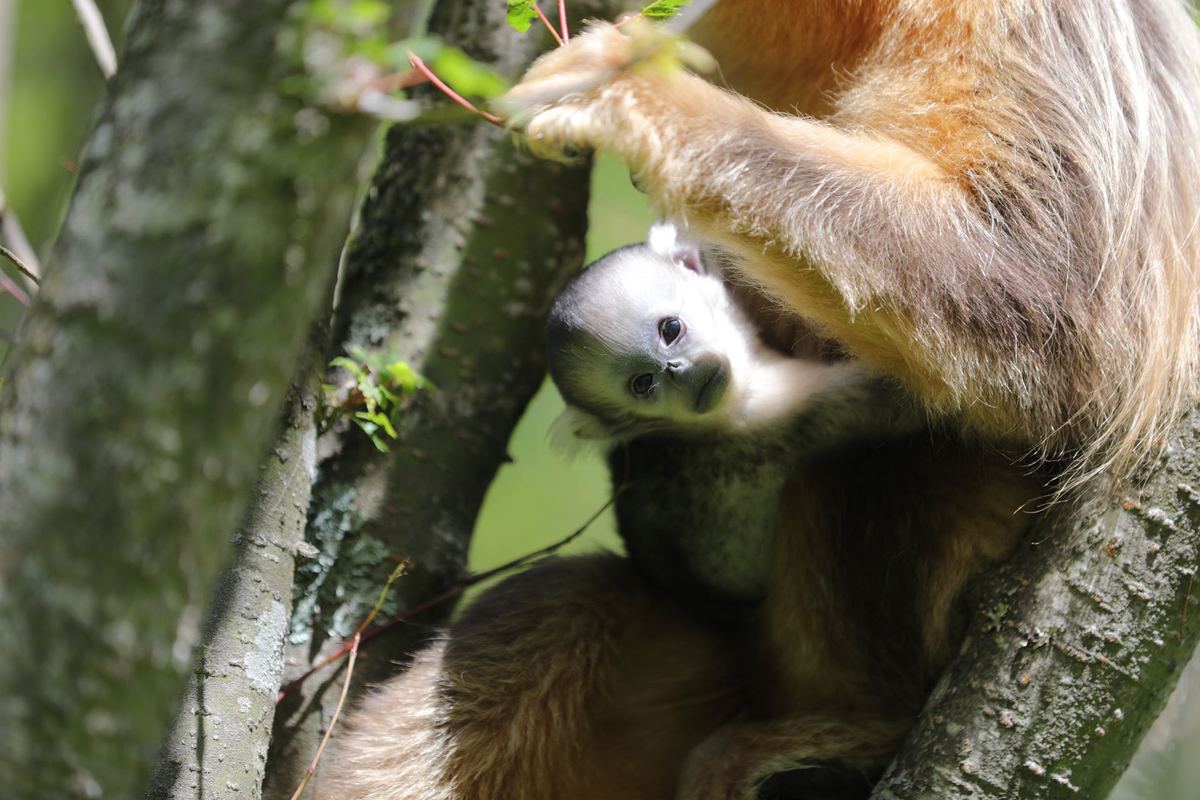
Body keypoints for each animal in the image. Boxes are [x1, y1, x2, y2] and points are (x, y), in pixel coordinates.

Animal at [319, 1, 1200, 800]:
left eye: (671, 333)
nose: (681, 376)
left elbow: (1049, 301)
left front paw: (630, 91)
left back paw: (853, 746)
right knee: (558, 608)